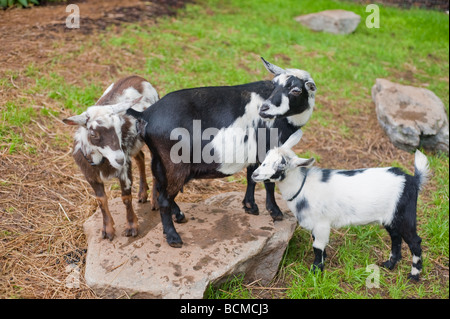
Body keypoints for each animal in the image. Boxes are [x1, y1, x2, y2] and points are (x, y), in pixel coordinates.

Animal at [62, 75, 159, 240]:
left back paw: (155, 200)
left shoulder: (124, 171)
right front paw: (107, 230)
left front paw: (131, 227)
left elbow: (126, 198)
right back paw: (142, 193)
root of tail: (138, 77)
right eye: (93, 133)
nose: (119, 159)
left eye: (119, 127)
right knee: (140, 157)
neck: (100, 162)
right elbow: (101, 200)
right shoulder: (91, 176)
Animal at [126, 58, 316, 248]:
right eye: (274, 85)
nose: (264, 109)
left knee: (160, 187)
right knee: (164, 198)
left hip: (158, 159)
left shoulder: (255, 151)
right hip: (176, 163)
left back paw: (178, 215)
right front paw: (275, 212)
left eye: (296, 90)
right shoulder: (267, 149)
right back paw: (173, 237)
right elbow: (268, 182)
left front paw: (250, 206)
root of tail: (146, 114)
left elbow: (251, 176)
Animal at [253, 129, 428, 282]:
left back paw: (414, 275)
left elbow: (317, 246)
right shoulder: (315, 224)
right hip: (391, 218)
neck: (302, 186)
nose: (255, 174)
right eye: (266, 158)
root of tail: (413, 180)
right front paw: (322, 262)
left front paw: (316, 271)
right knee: (396, 238)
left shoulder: (321, 223)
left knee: (414, 242)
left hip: (405, 215)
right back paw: (389, 265)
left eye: (281, 165)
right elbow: (319, 244)